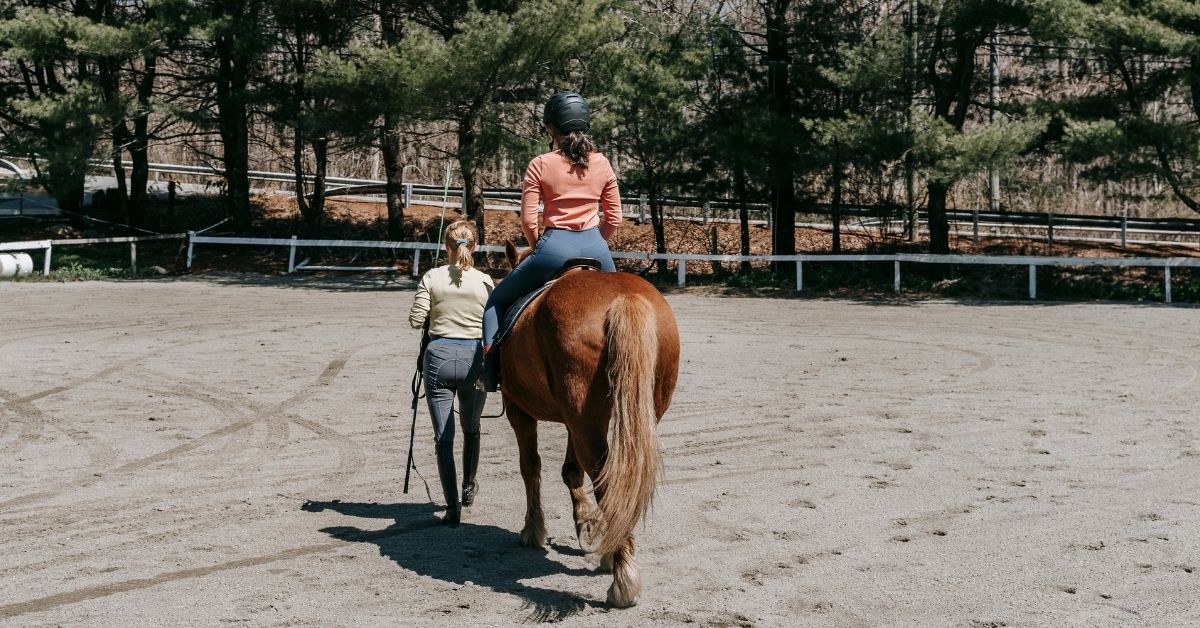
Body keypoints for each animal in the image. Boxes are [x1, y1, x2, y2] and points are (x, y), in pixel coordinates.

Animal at [496, 243, 681, 607]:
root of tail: (623, 298)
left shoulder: (518, 410)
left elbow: (530, 467)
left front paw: (533, 530)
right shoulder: (575, 420)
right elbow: (571, 470)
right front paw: (586, 523)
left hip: (579, 418)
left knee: (604, 475)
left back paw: (623, 579)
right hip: (622, 416)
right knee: (619, 476)